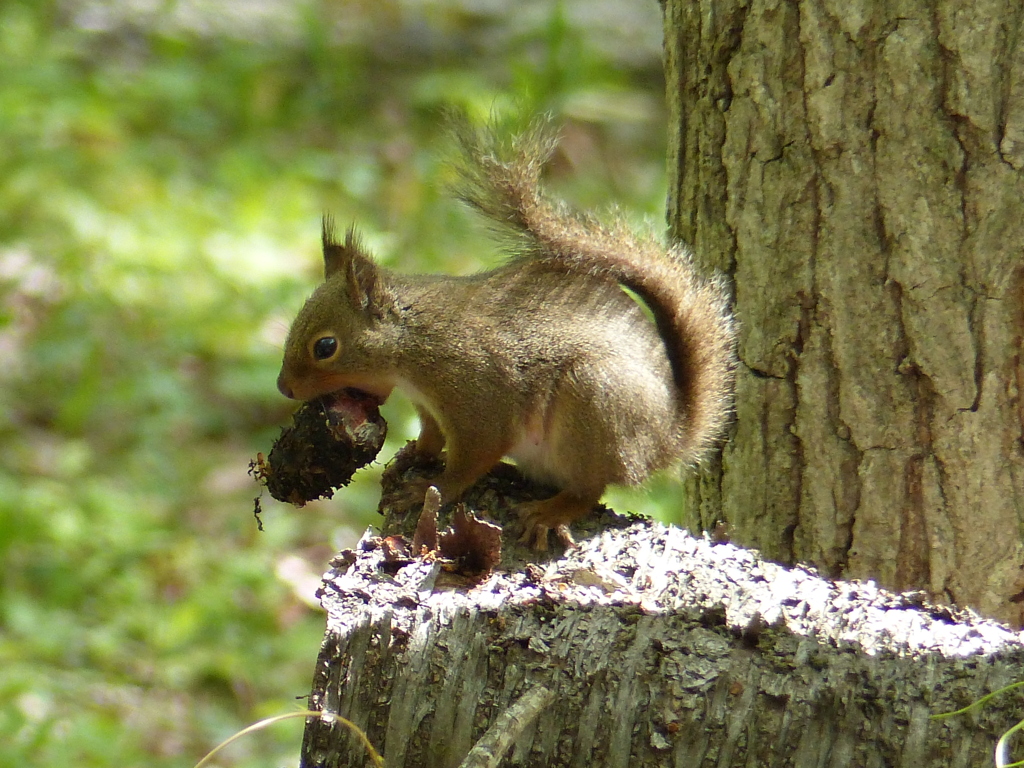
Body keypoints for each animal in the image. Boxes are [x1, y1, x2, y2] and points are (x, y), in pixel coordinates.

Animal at [274, 117, 737, 548]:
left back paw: (550, 512)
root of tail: (666, 439)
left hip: (594, 399)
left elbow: (469, 459)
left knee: (591, 487)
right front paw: (410, 456)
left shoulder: (477, 399)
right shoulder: (430, 407)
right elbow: (432, 437)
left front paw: (426, 489)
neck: (413, 346)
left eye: (326, 346)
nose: (283, 388)